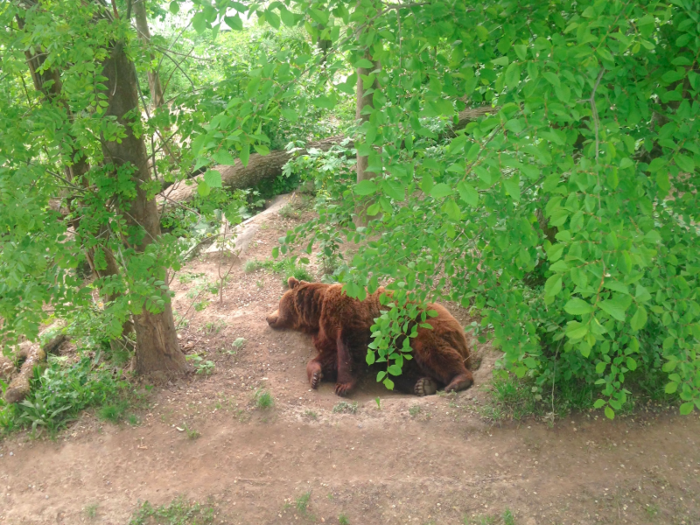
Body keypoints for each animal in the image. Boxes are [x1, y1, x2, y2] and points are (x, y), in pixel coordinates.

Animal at [266, 276, 474, 396]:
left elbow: (349, 350)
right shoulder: (326, 332)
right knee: (398, 371)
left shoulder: (348, 315)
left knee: (434, 349)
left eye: (279, 303)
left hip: (422, 327)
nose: (268, 317)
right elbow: (329, 356)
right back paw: (423, 385)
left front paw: (343, 386)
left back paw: (457, 380)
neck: (316, 313)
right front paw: (316, 374)